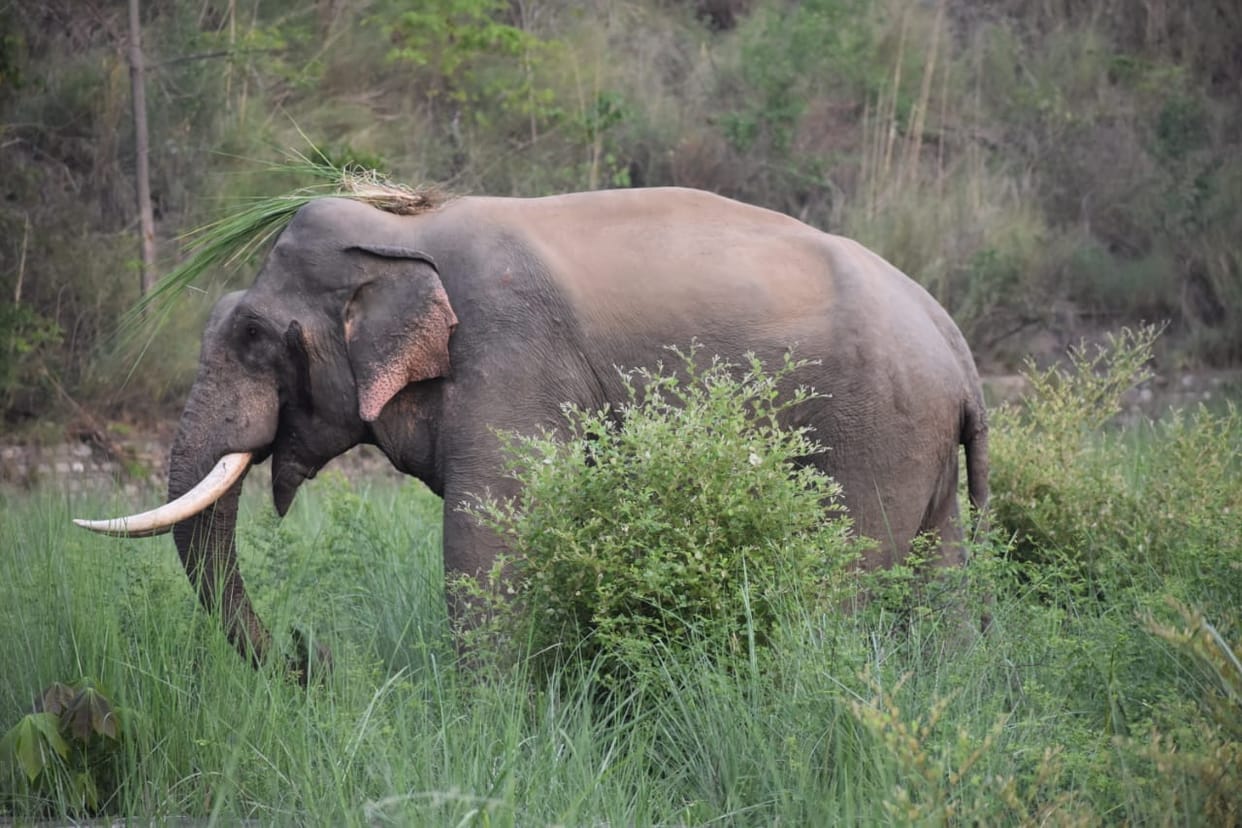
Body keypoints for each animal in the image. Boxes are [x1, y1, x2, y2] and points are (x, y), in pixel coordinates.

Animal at [77, 186, 989, 676]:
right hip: (924, 448)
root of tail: (957, 346)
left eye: (253, 338)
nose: (319, 658)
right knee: (937, 582)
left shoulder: (511, 356)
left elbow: (487, 538)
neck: (404, 229)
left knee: (847, 576)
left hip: (875, 431)